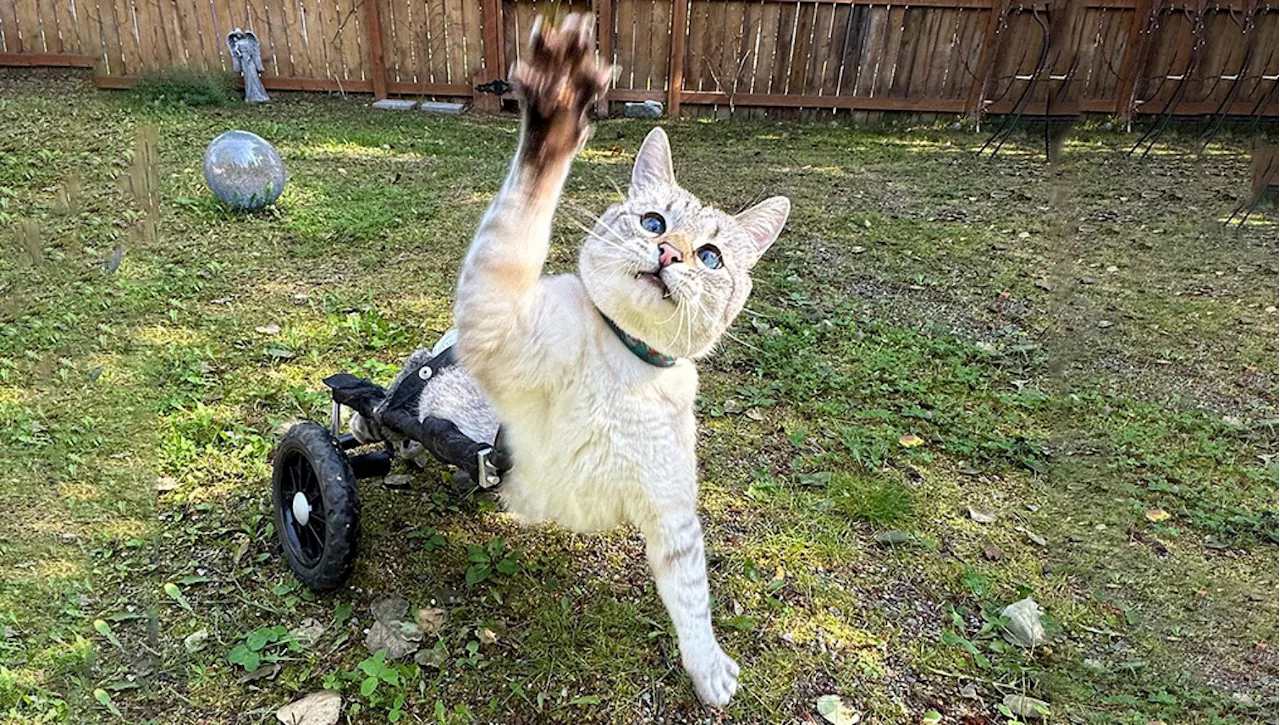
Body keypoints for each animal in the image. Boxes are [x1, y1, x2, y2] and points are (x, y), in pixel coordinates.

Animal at [371, 15, 788, 712]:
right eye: (654, 223)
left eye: (709, 257)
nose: (669, 255)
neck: (629, 365)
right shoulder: (494, 319)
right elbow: (521, 212)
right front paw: (559, 108)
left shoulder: (673, 516)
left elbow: (693, 600)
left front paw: (708, 671)